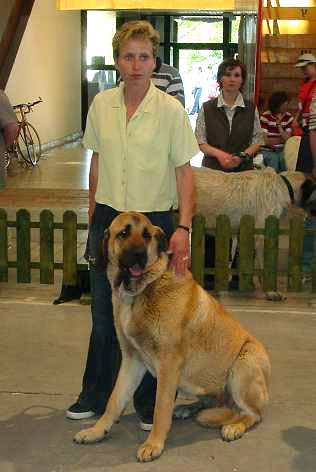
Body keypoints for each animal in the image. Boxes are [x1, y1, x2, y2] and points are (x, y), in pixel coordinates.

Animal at [74, 213, 272, 460]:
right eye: (124, 233)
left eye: (147, 235)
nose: (138, 255)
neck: (144, 288)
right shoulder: (132, 360)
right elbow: (115, 400)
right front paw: (97, 431)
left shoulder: (168, 366)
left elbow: (160, 408)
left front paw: (154, 444)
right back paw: (187, 408)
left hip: (243, 362)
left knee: (253, 414)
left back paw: (234, 426)